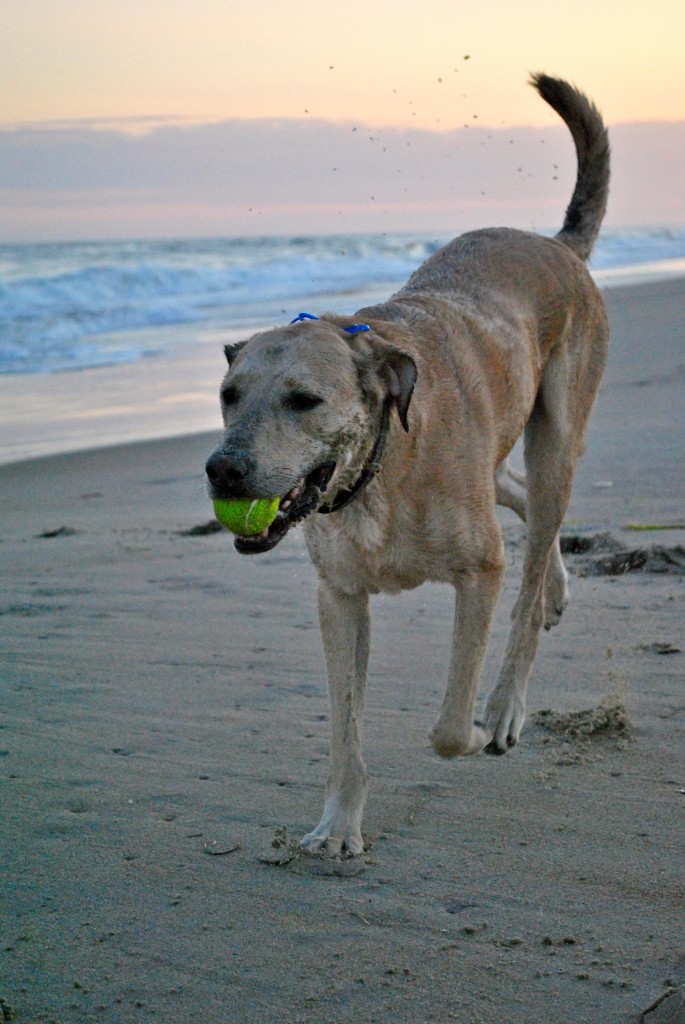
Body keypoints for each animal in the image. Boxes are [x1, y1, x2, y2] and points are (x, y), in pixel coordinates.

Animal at [204, 74, 610, 856]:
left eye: (304, 400)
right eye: (227, 396)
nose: (224, 471)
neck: (374, 479)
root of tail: (556, 246)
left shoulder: (479, 571)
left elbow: (449, 725)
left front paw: (476, 728)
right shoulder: (339, 599)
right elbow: (344, 730)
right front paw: (338, 824)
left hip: (557, 435)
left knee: (533, 554)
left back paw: (507, 702)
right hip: (505, 459)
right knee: (520, 501)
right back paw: (555, 587)